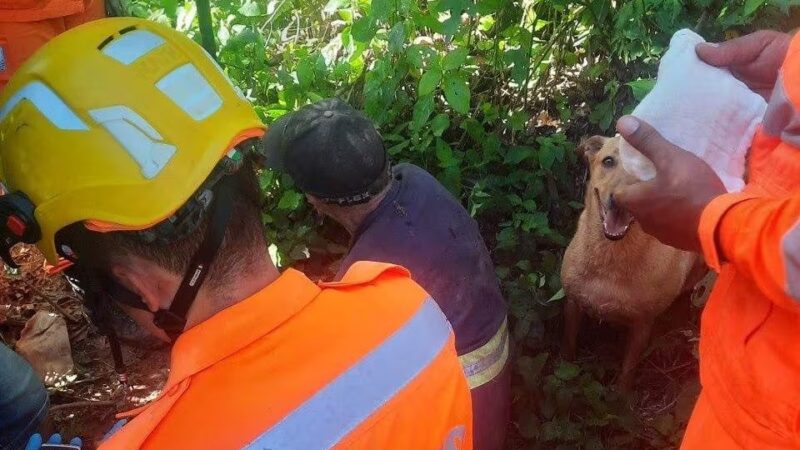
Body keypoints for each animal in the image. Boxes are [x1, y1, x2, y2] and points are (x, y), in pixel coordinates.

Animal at [560, 135, 704, 388]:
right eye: (608, 161)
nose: (620, 200)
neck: (611, 256)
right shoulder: (573, 303)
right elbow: (569, 345)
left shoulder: (642, 325)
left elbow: (627, 371)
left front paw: (621, 397)